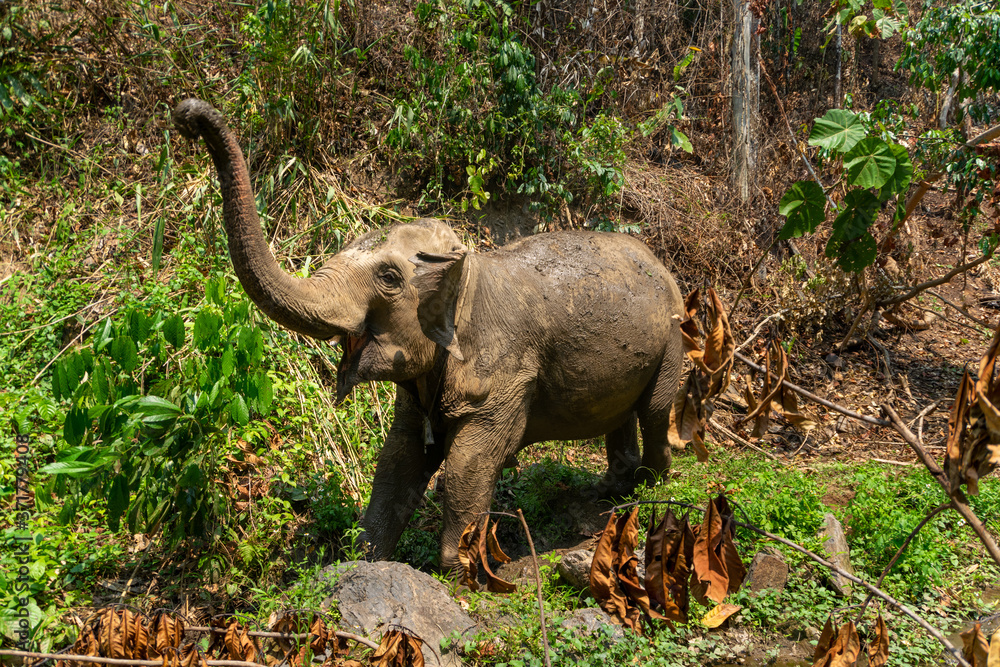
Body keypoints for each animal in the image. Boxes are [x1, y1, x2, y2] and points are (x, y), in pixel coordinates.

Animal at [172, 98, 685, 572]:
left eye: (389, 278)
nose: (187, 115)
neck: (468, 269)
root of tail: (662, 264)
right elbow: (396, 460)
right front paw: (364, 560)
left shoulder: (506, 373)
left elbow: (467, 464)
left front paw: (461, 572)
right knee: (622, 412)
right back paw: (612, 489)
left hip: (673, 336)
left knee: (655, 408)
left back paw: (655, 482)